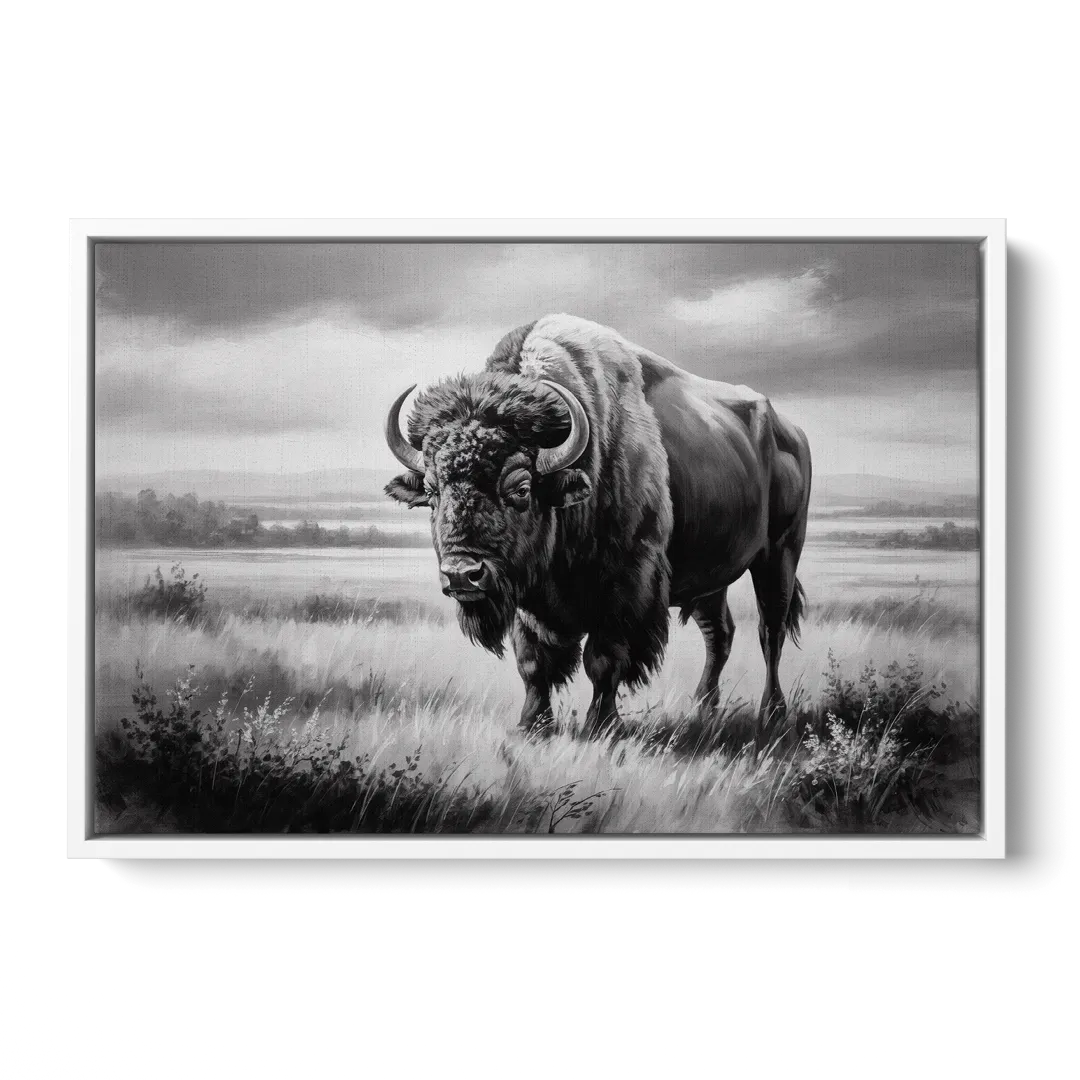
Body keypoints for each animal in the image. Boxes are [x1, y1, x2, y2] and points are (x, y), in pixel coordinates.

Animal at [384, 314, 812, 746]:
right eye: (432, 492)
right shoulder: (530, 598)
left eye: (520, 489)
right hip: (712, 578)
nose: (461, 574)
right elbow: (532, 662)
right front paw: (532, 726)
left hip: (779, 555)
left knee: (770, 630)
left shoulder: (625, 585)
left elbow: (603, 660)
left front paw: (602, 726)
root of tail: (791, 432)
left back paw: (772, 714)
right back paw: (704, 710)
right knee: (719, 633)